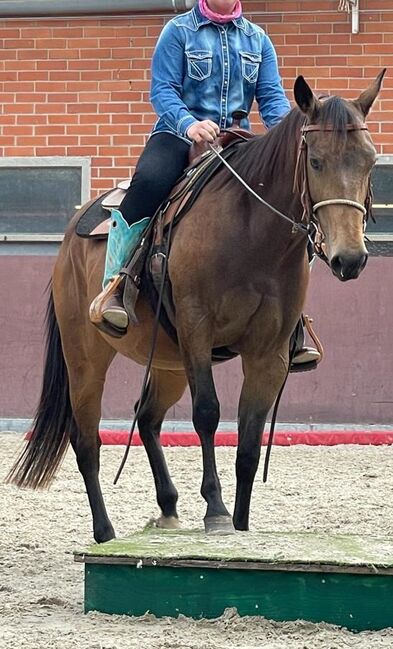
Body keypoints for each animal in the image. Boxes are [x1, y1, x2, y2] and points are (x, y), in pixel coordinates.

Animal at [7, 73, 384, 540]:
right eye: (315, 161)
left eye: (369, 161)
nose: (349, 259)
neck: (252, 234)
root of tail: (71, 238)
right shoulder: (197, 332)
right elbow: (208, 414)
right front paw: (217, 511)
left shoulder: (270, 354)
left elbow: (248, 440)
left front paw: (241, 525)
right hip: (86, 357)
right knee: (86, 439)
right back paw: (105, 531)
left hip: (168, 362)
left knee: (147, 417)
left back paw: (168, 507)